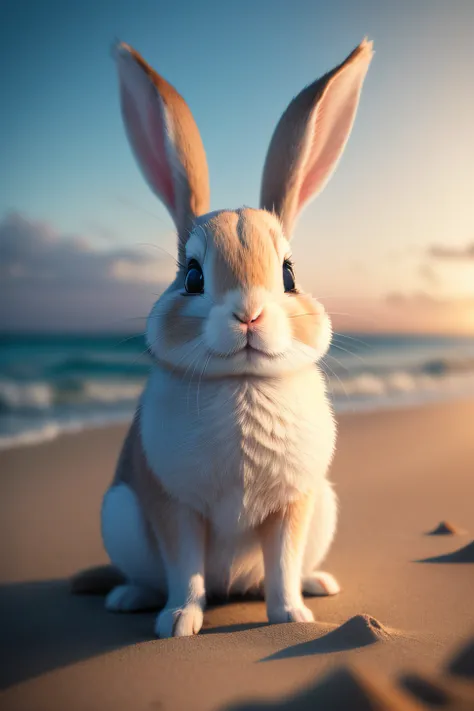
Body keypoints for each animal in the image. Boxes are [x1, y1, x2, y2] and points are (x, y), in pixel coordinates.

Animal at [97, 39, 370, 640]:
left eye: (289, 273)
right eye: (193, 276)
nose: (249, 314)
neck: (241, 381)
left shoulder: (293, 505)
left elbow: (282, 564)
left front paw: (291, 616)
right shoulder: (173, 505)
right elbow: (186, 570)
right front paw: (179, 623)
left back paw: (319, 586)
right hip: (120, 514)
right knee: (155, 576)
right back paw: (129, 599)